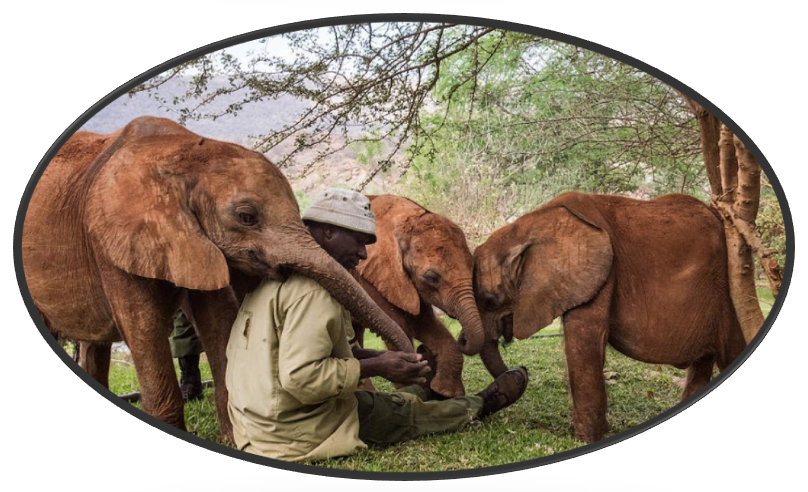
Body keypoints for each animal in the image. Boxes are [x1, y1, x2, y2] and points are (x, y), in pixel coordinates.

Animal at [22, 117, 414, 440]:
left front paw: (238, 441)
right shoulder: (111, 240)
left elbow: (218, 320)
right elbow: (145, 328)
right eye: (246, 217)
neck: (182, 154)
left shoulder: (200, 242)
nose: (417, 371)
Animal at [350, 194, 482, 398]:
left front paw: (446, 393)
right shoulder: (371, 280)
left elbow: (425, 323)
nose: (463, 337)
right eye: (432, 277)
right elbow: (401, 326)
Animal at [474, 191, 744, 442]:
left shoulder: (599, 270)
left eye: (490, 300)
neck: (529, 225)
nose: (519, 371)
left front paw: (585, 440)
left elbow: (585, 341)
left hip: (727, 290)